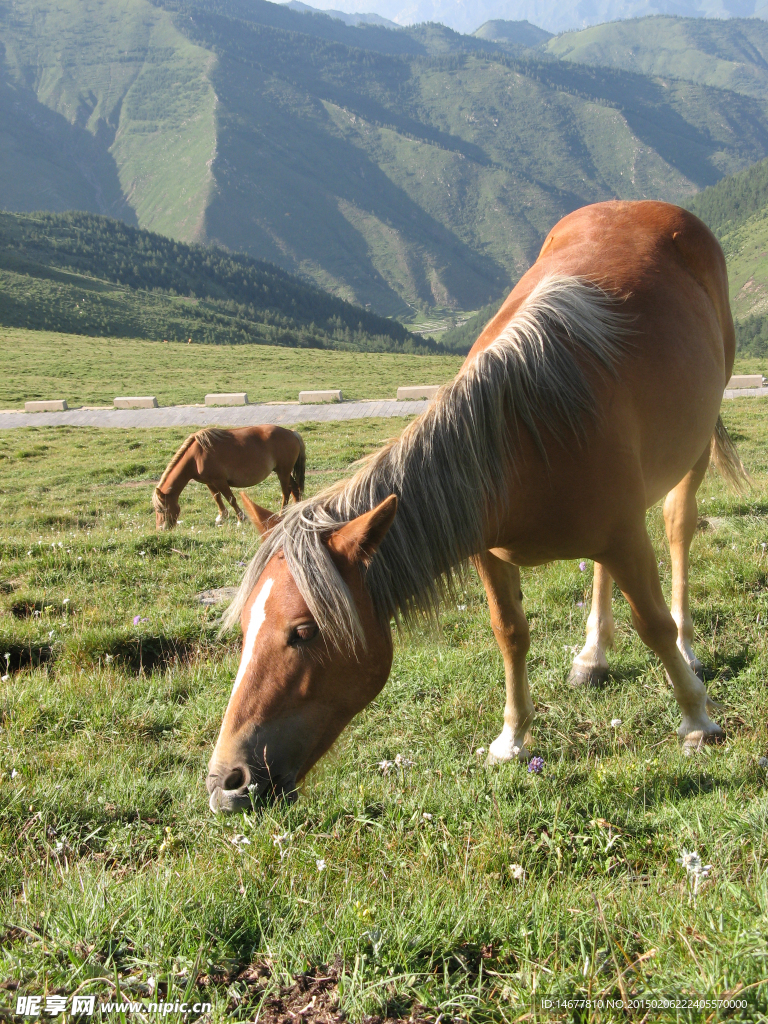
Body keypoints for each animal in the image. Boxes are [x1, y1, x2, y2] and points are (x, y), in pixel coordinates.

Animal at [151, 428, 305, 532]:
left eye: (161, 509)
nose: (161, 529)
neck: (196, 456)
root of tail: (291, 433)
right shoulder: (210, 482)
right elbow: (217, 498)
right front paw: (222, 517)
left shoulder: (220, 481)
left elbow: (231, 499)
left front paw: (241, 519)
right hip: (285, 472)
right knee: (295, 489)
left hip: (283, 472)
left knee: (286, 492)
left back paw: (281, 514)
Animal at [205, 201, 753, 815]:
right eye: (245, 627)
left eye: (303, 631)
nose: (226, 782)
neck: (523, 434)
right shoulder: (490, 551)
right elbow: (509, 632)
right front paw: (512, 739)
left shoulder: (624, 536)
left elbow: (653, 625)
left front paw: (697, 719)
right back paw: (592, 655)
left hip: (692, 453)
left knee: (678, 531)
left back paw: (687, 644)